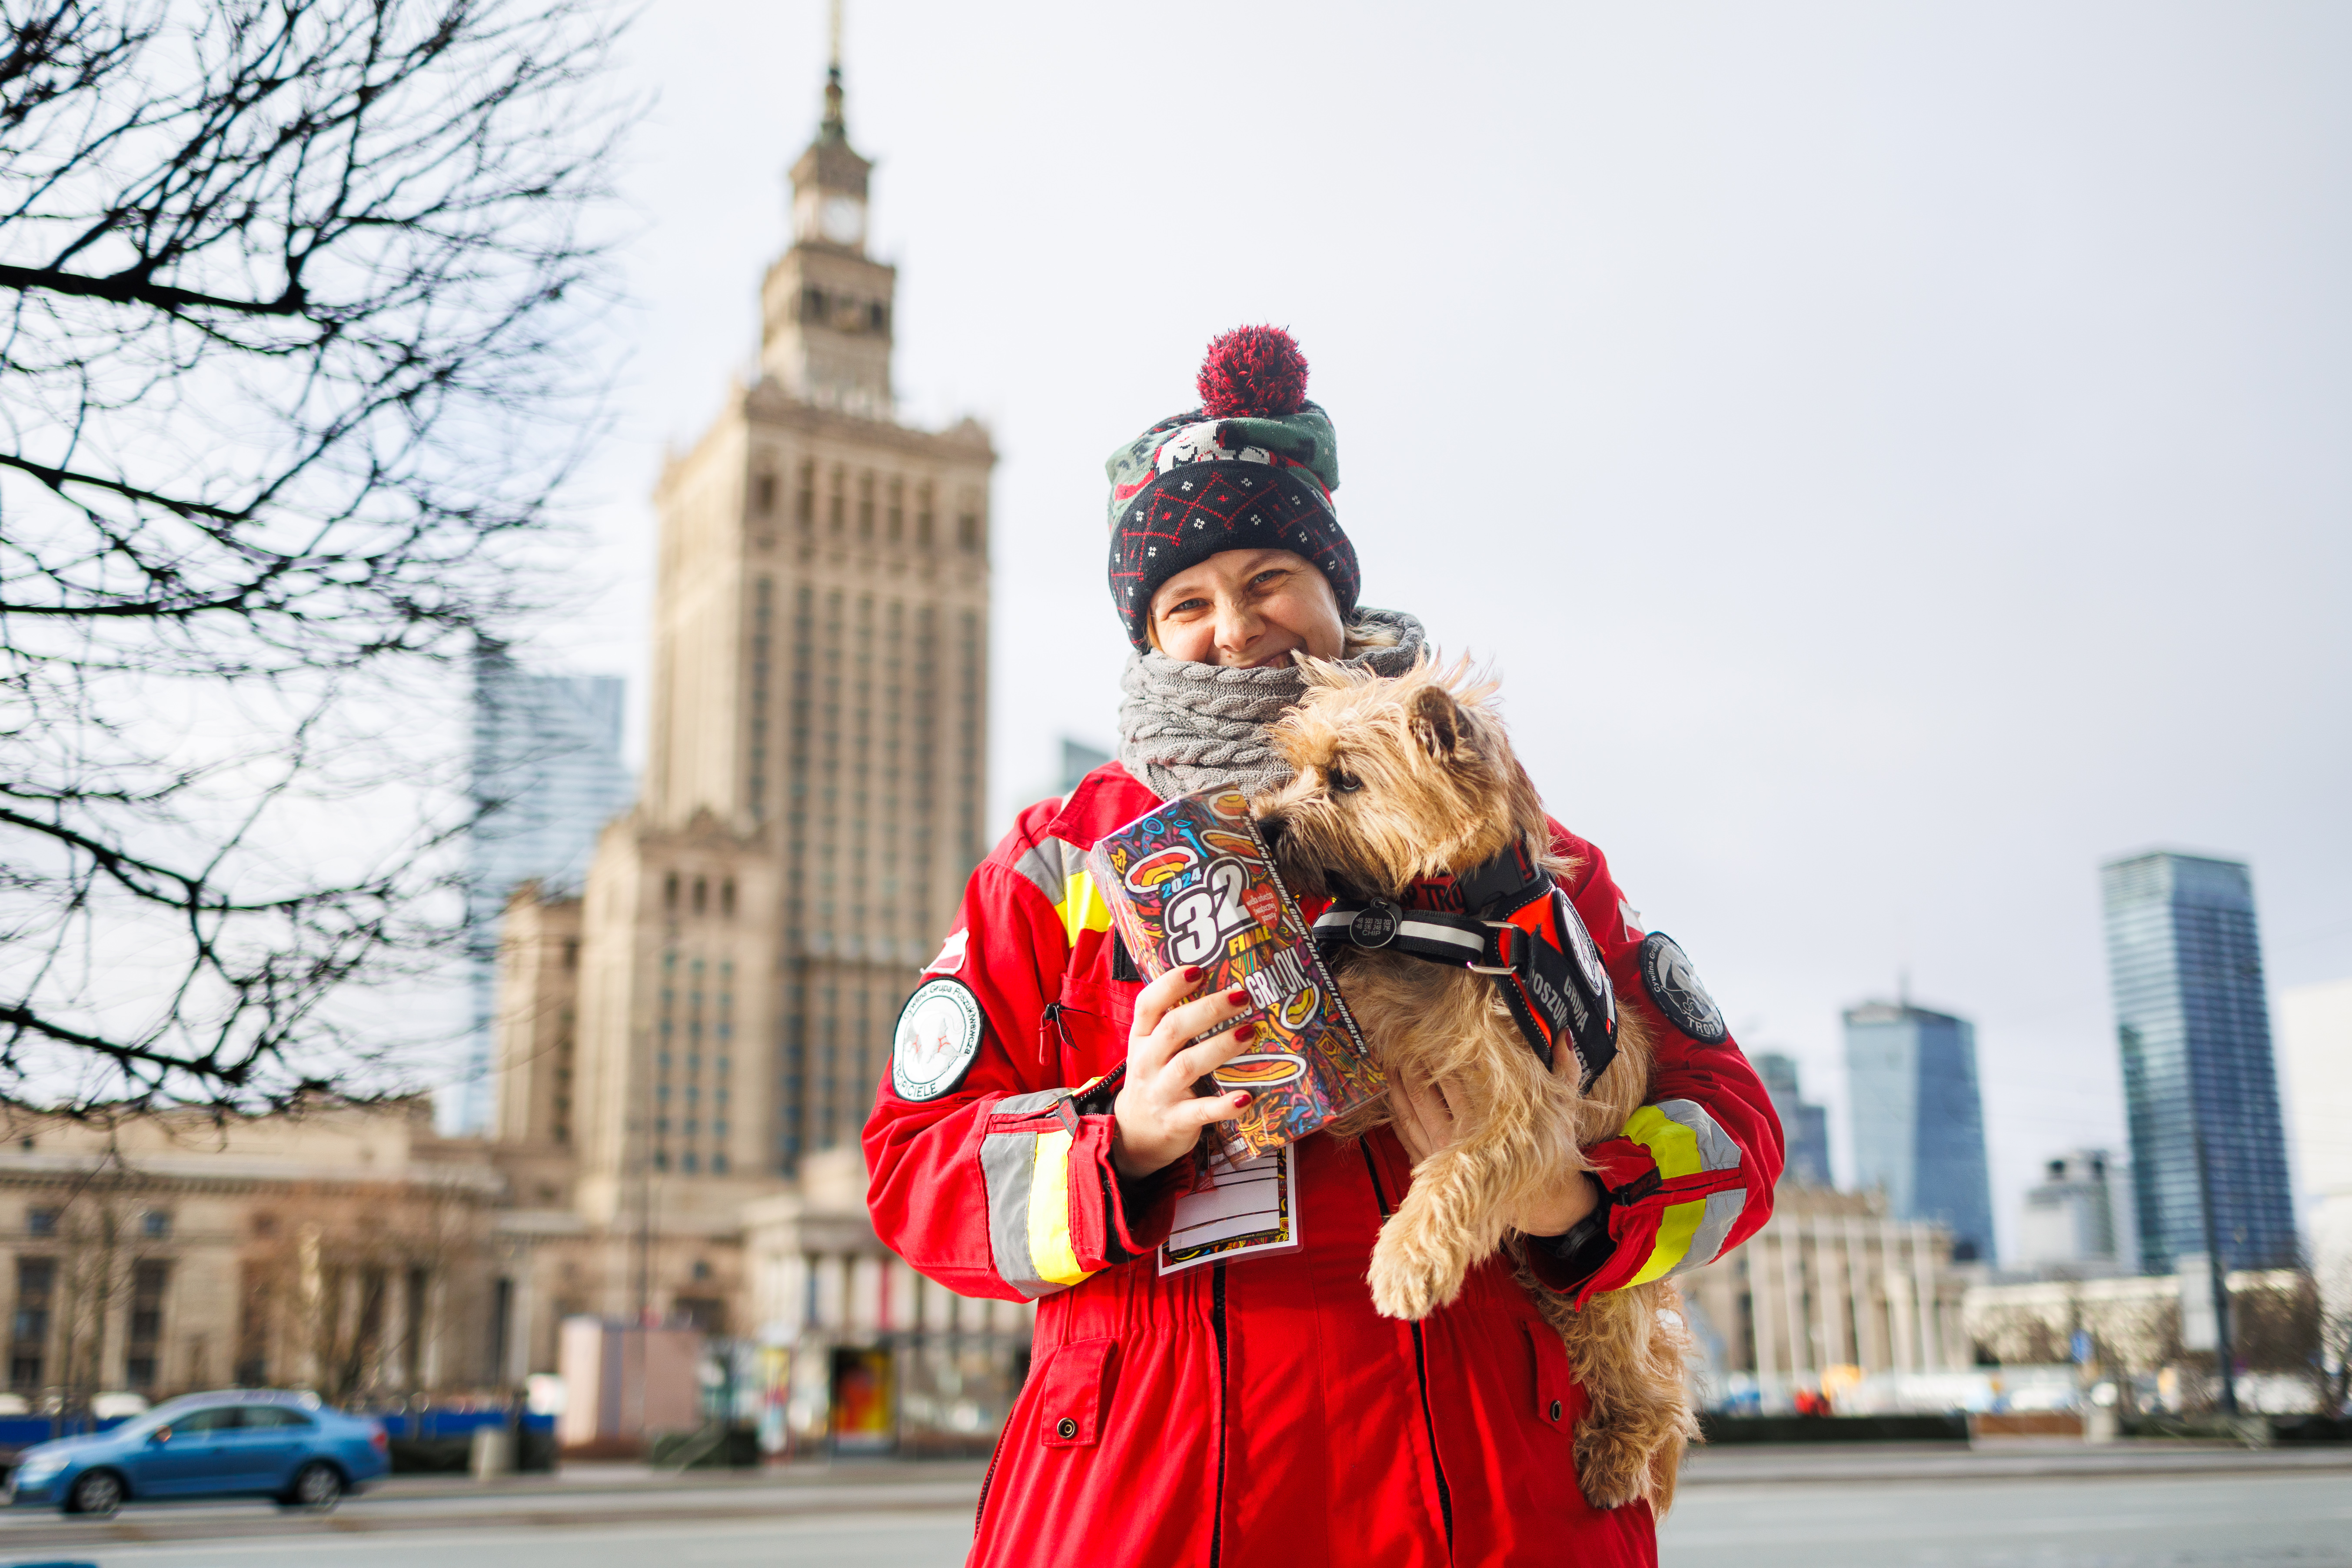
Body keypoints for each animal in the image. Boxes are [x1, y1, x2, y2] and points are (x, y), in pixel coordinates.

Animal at [1261, 658, 1703, 1514]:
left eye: (1343, 779)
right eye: (1292, 767)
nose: (1260, 822)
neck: (1433, 911)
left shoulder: (1529, 1113)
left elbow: (1457, 1168)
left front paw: (1404, 1258)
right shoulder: (1367, 1062)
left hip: (1609, 1294)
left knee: (1657, 1386)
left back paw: (1616, 1453)